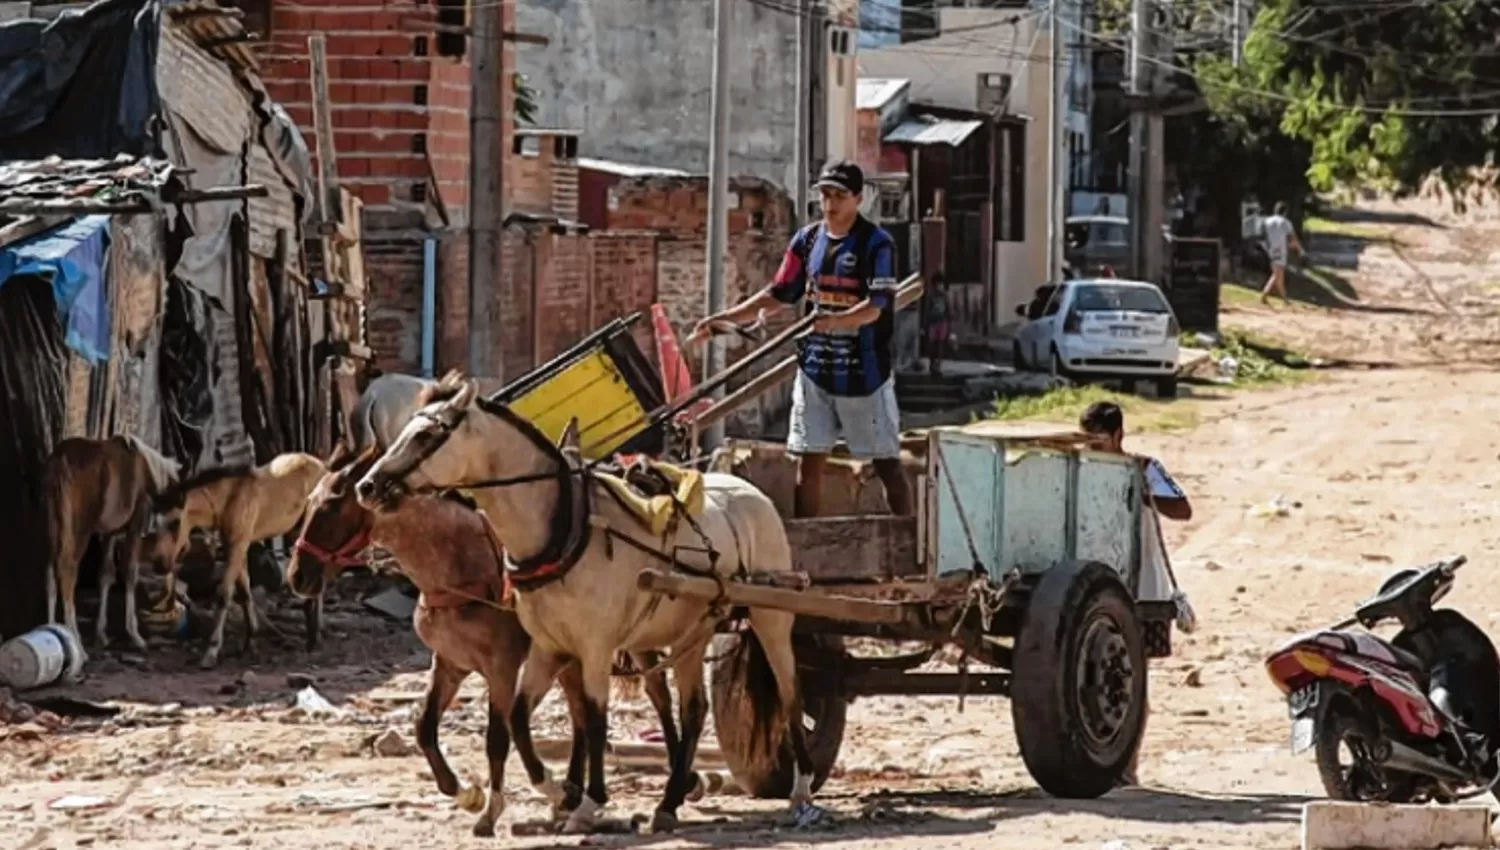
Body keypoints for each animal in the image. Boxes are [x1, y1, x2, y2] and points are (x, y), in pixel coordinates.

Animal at [45, 434, 181, 668]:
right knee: (67, 570)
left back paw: (53, 633)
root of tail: (61, 457)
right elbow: (130, 573)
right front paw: (135, 636)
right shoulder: (134, 527)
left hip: (55, 526)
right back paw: (79, 648)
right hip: (79, 529)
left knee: (51, 573)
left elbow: (105, 575)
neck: (147, 469)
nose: (167, 564)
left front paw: (101, 634)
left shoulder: (109, 534)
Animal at [141, 449, 328, 668]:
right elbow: (244, 593)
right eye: (155, 523)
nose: (159, 565)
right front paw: (249, 643)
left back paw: (316, 635)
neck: (227, 501)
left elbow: (224, 594)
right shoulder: (237, 548)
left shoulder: (238, 547)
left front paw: (211, 651)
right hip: (296, 529)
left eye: (175, 522)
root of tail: (321, 464)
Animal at [282, 446, 702, 839]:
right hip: (572, 654)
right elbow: (424, 728)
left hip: (633, 639)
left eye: (331, 507)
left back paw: (676, 786)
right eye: (307, 505)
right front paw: (466, 793)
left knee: (660, 697)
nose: (297, 577)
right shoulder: (450, 663)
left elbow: (497, 738)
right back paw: (576, 793)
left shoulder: (501, 668)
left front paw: (492, 810)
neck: (462, 570)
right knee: (583, 715)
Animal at [352, 374, 822, 839]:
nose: (367, 486)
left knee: (789, 693)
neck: (564, 530)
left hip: (771, 616)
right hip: (691, 631)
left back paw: (800, 789)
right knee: (692, 709)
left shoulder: (593, 647)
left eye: (427, 435)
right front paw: (558, 791)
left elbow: (594, 720)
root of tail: (751, 491)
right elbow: (519, 719)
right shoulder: (548, 648)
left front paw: (588, 801)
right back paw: (669, 801)